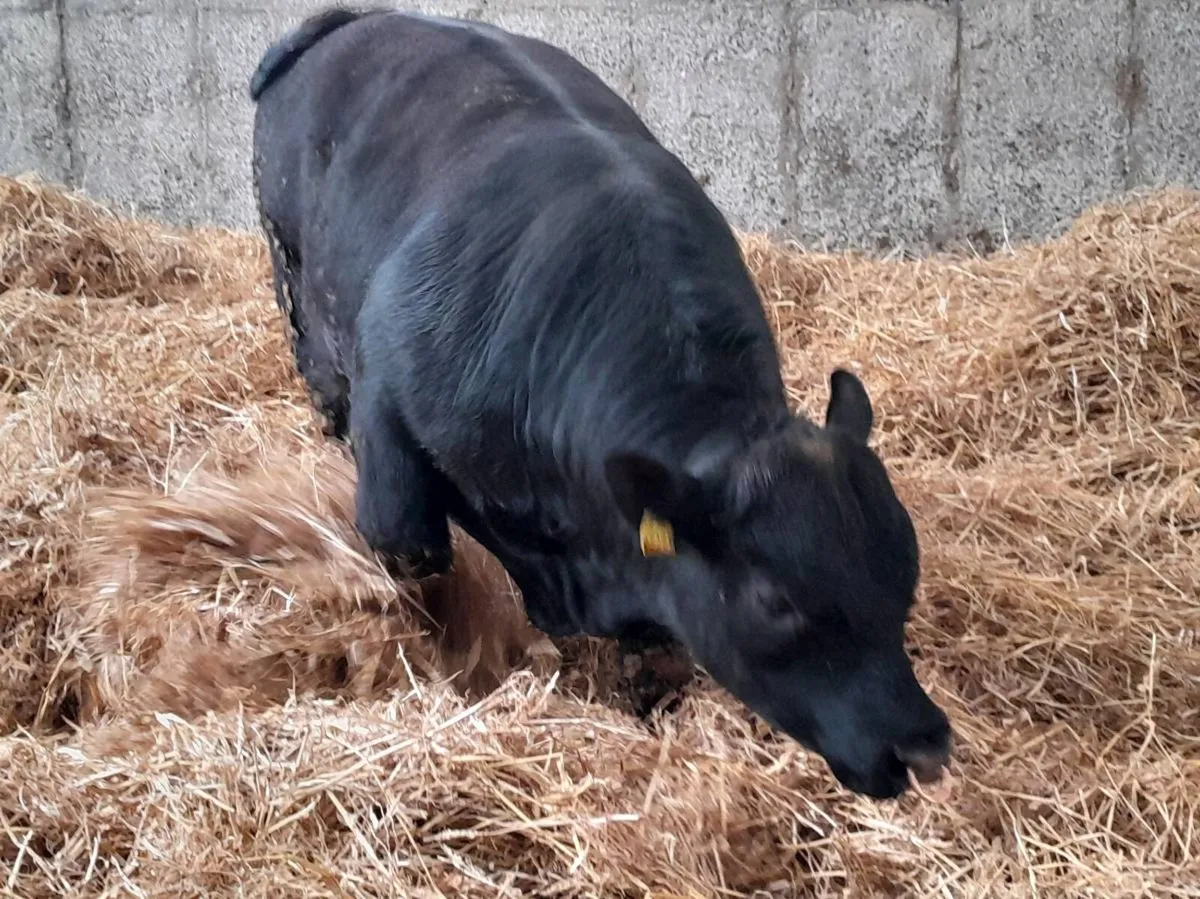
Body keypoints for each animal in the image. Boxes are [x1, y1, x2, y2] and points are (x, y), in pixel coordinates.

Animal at [249, 6, 952, 799]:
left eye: (904, 567)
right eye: (775, 600)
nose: (923, 746)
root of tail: (360, 20)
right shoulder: (396, 471)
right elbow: (419, 573)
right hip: (300, 296)